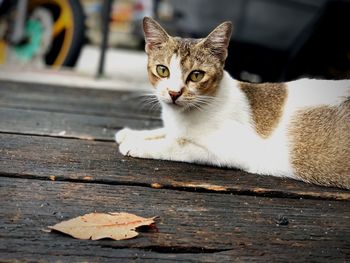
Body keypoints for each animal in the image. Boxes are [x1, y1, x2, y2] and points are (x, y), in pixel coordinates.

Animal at [115, 16, 350, 190]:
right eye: (162, 70)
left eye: (196, 75)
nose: (174, 93)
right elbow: (167, 133)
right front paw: (133, 133)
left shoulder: (231, 150)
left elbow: (178, 144)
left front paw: (137, 144)